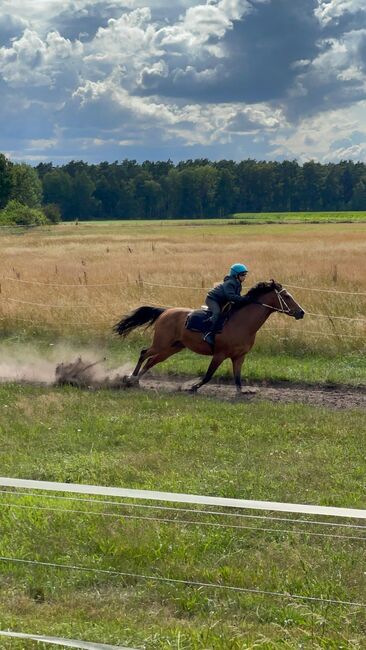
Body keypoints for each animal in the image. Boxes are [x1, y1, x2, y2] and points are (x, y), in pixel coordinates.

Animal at [113, 278, 304, 390]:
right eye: (286, 296)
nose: (301, 312)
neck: (243, 324)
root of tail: (165, 311)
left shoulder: (239, 357)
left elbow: (238, 379)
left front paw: (242, 392)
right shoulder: (219, 354)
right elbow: (208, 375)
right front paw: (193, 387)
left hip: (173, 347)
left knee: (152, 361)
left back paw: (136, 380)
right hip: (161, 343)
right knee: (144, 353)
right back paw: (130, 378)